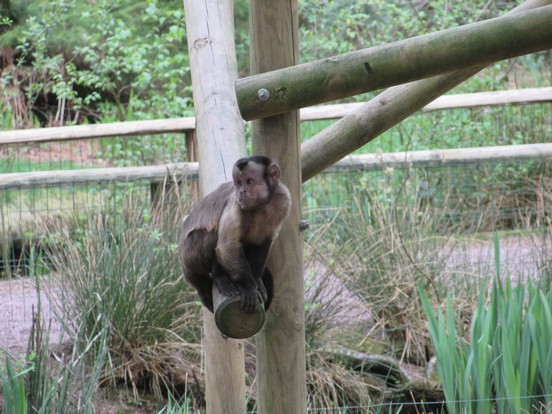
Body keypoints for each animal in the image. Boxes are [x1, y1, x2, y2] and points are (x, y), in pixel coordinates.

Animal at [180, 157, 294, 312]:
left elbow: (264, 241)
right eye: (239, 183)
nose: (242, 191)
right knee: (214, 235)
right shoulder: (235, 203)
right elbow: (226, 247)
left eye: (249, 181)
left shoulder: (283, 200)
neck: (260, 206)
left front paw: (257, 281)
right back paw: (220, 278)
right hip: (191, 254)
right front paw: (249, 287)